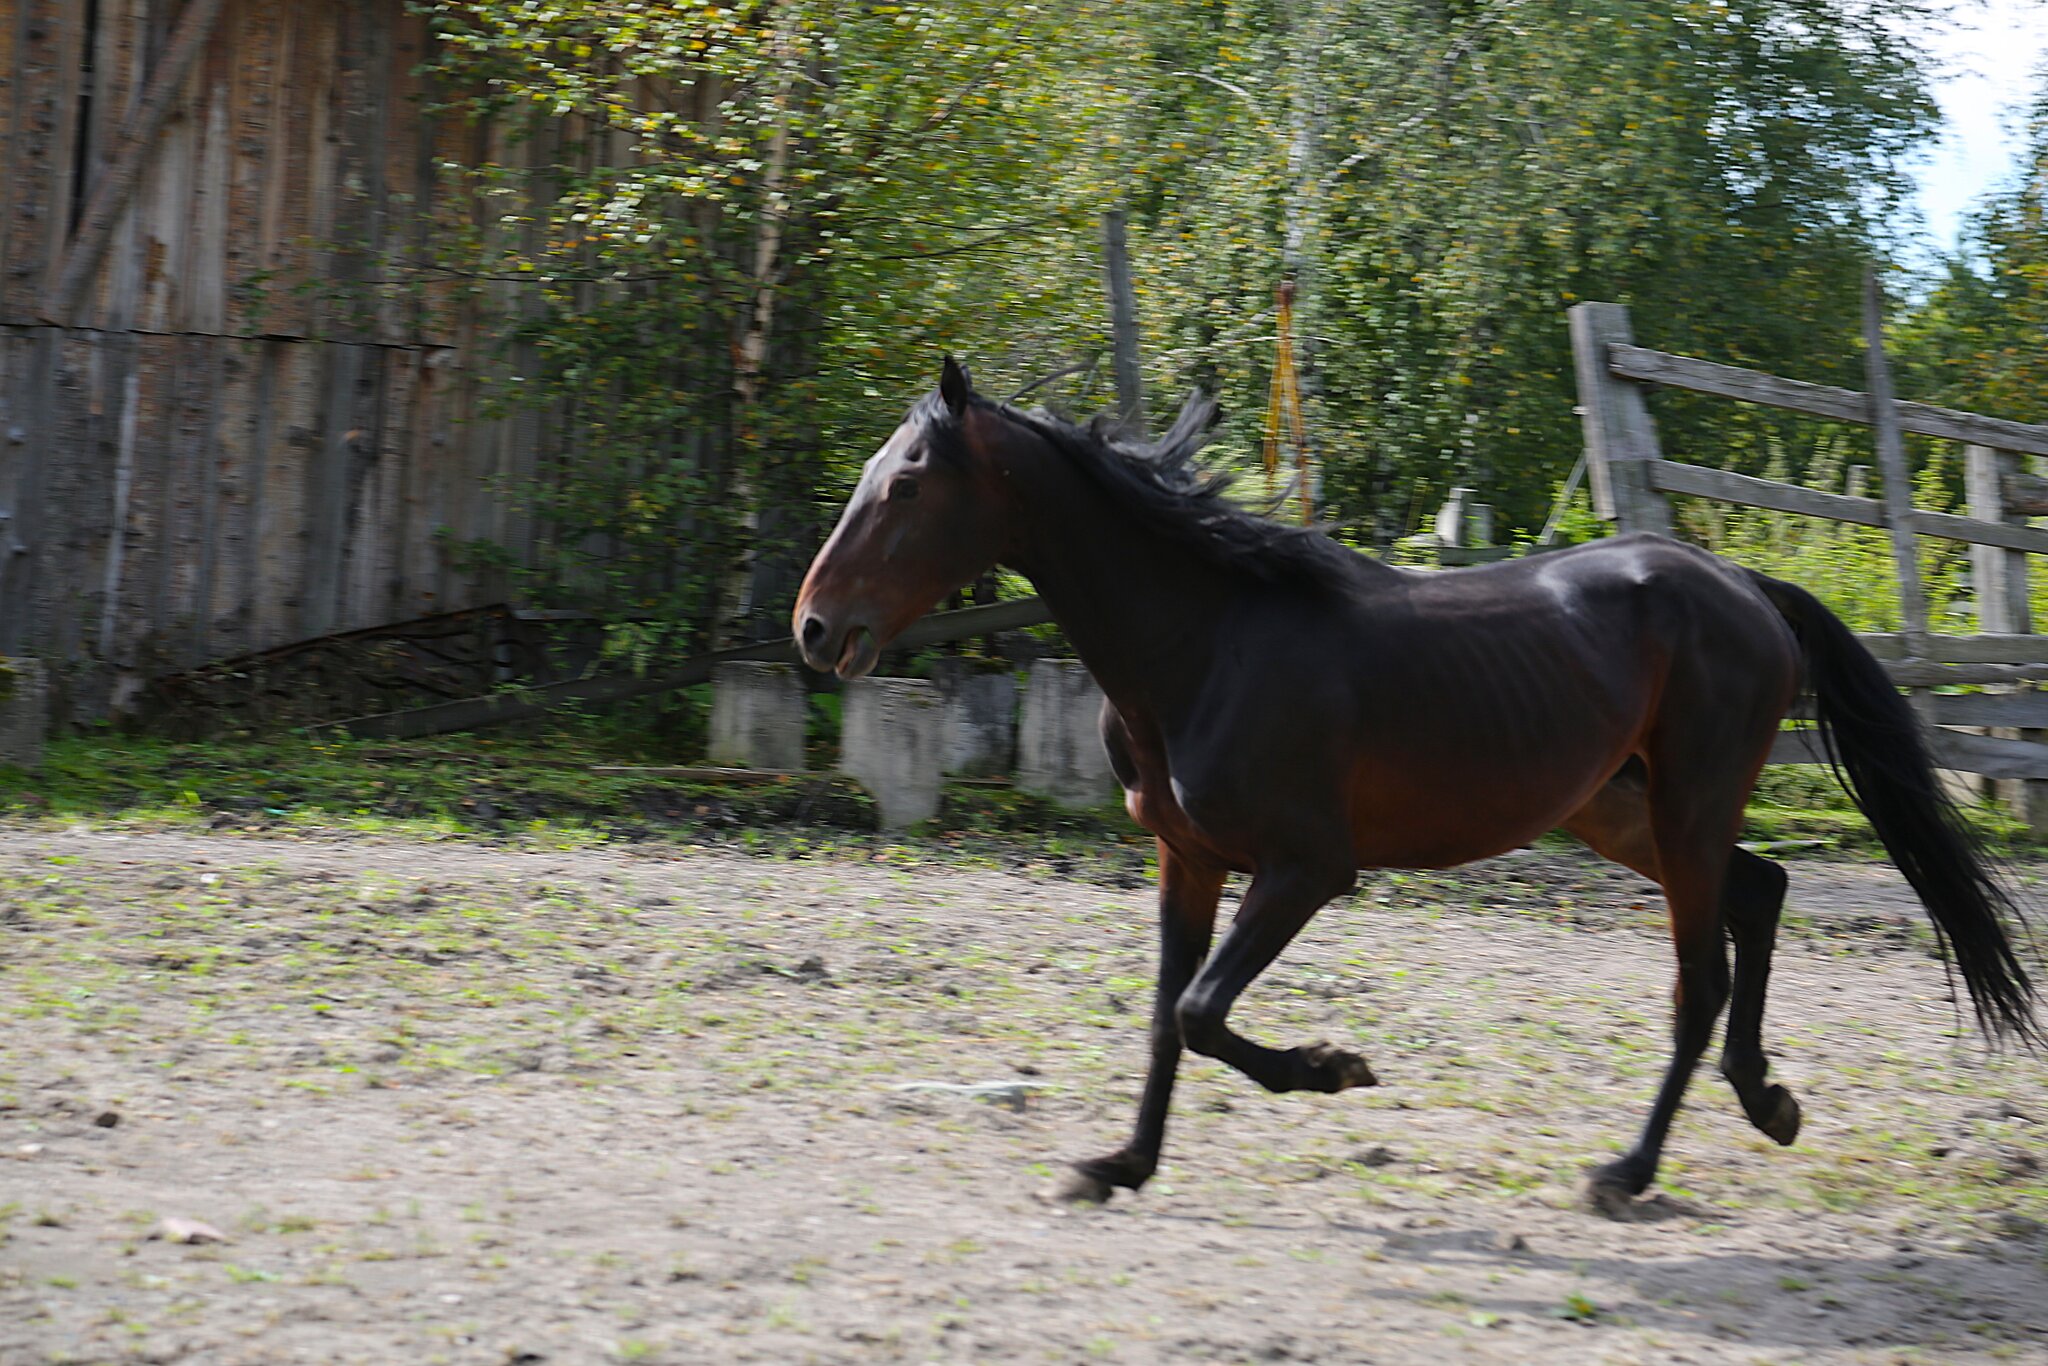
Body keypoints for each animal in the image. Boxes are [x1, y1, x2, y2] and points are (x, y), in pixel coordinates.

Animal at [792, 357, 2037, 1209]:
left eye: (905, 487)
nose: (814, 626)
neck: (1203, 644)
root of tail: (1738, 581)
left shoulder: (1305, 868)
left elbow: (1200, 1011)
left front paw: (1332, 1068)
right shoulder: (1183, 858)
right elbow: (1162, 1015)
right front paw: (1118, 1163)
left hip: (1684, 805)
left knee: (1700, 978)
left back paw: (1626, 1170)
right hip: (1619, 807)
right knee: (1762, 891)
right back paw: (1765, 1100)